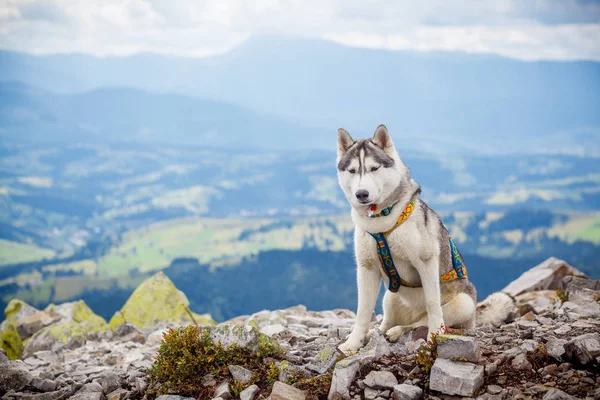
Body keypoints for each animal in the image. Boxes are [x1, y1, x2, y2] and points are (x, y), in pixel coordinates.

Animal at [338, 126, 516, 354]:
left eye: (374, 168)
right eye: (352, 171)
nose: (362, 194)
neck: (382, 222)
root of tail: (476, 315)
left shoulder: (426, 262)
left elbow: (432, 305)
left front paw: (434, 338)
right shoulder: (367, 268)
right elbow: (362, 311)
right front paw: (353, 342)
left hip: (463, 304)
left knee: (419, 322)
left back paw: (400, 331)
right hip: (390, 296)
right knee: (388, 321)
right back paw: (378, 332)